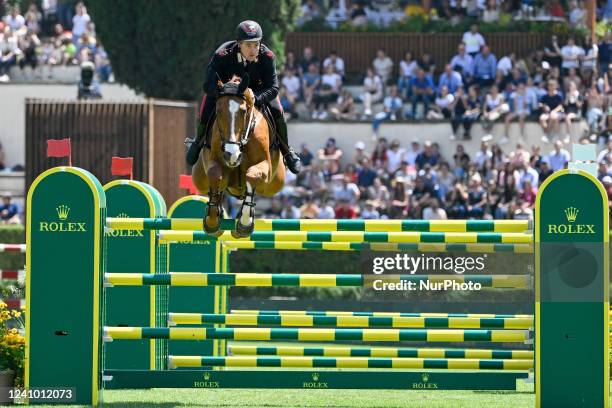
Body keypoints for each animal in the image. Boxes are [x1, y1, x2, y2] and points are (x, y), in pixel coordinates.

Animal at [192, 75, 286, 237]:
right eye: (218, 111)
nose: (231, 154)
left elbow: (252, 176)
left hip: (274, 184)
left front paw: (245, 222)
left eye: (243, 111)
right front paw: (212, 220)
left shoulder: (265, 165)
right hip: (199, 179)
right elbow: (216, 175)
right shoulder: (215, 163)